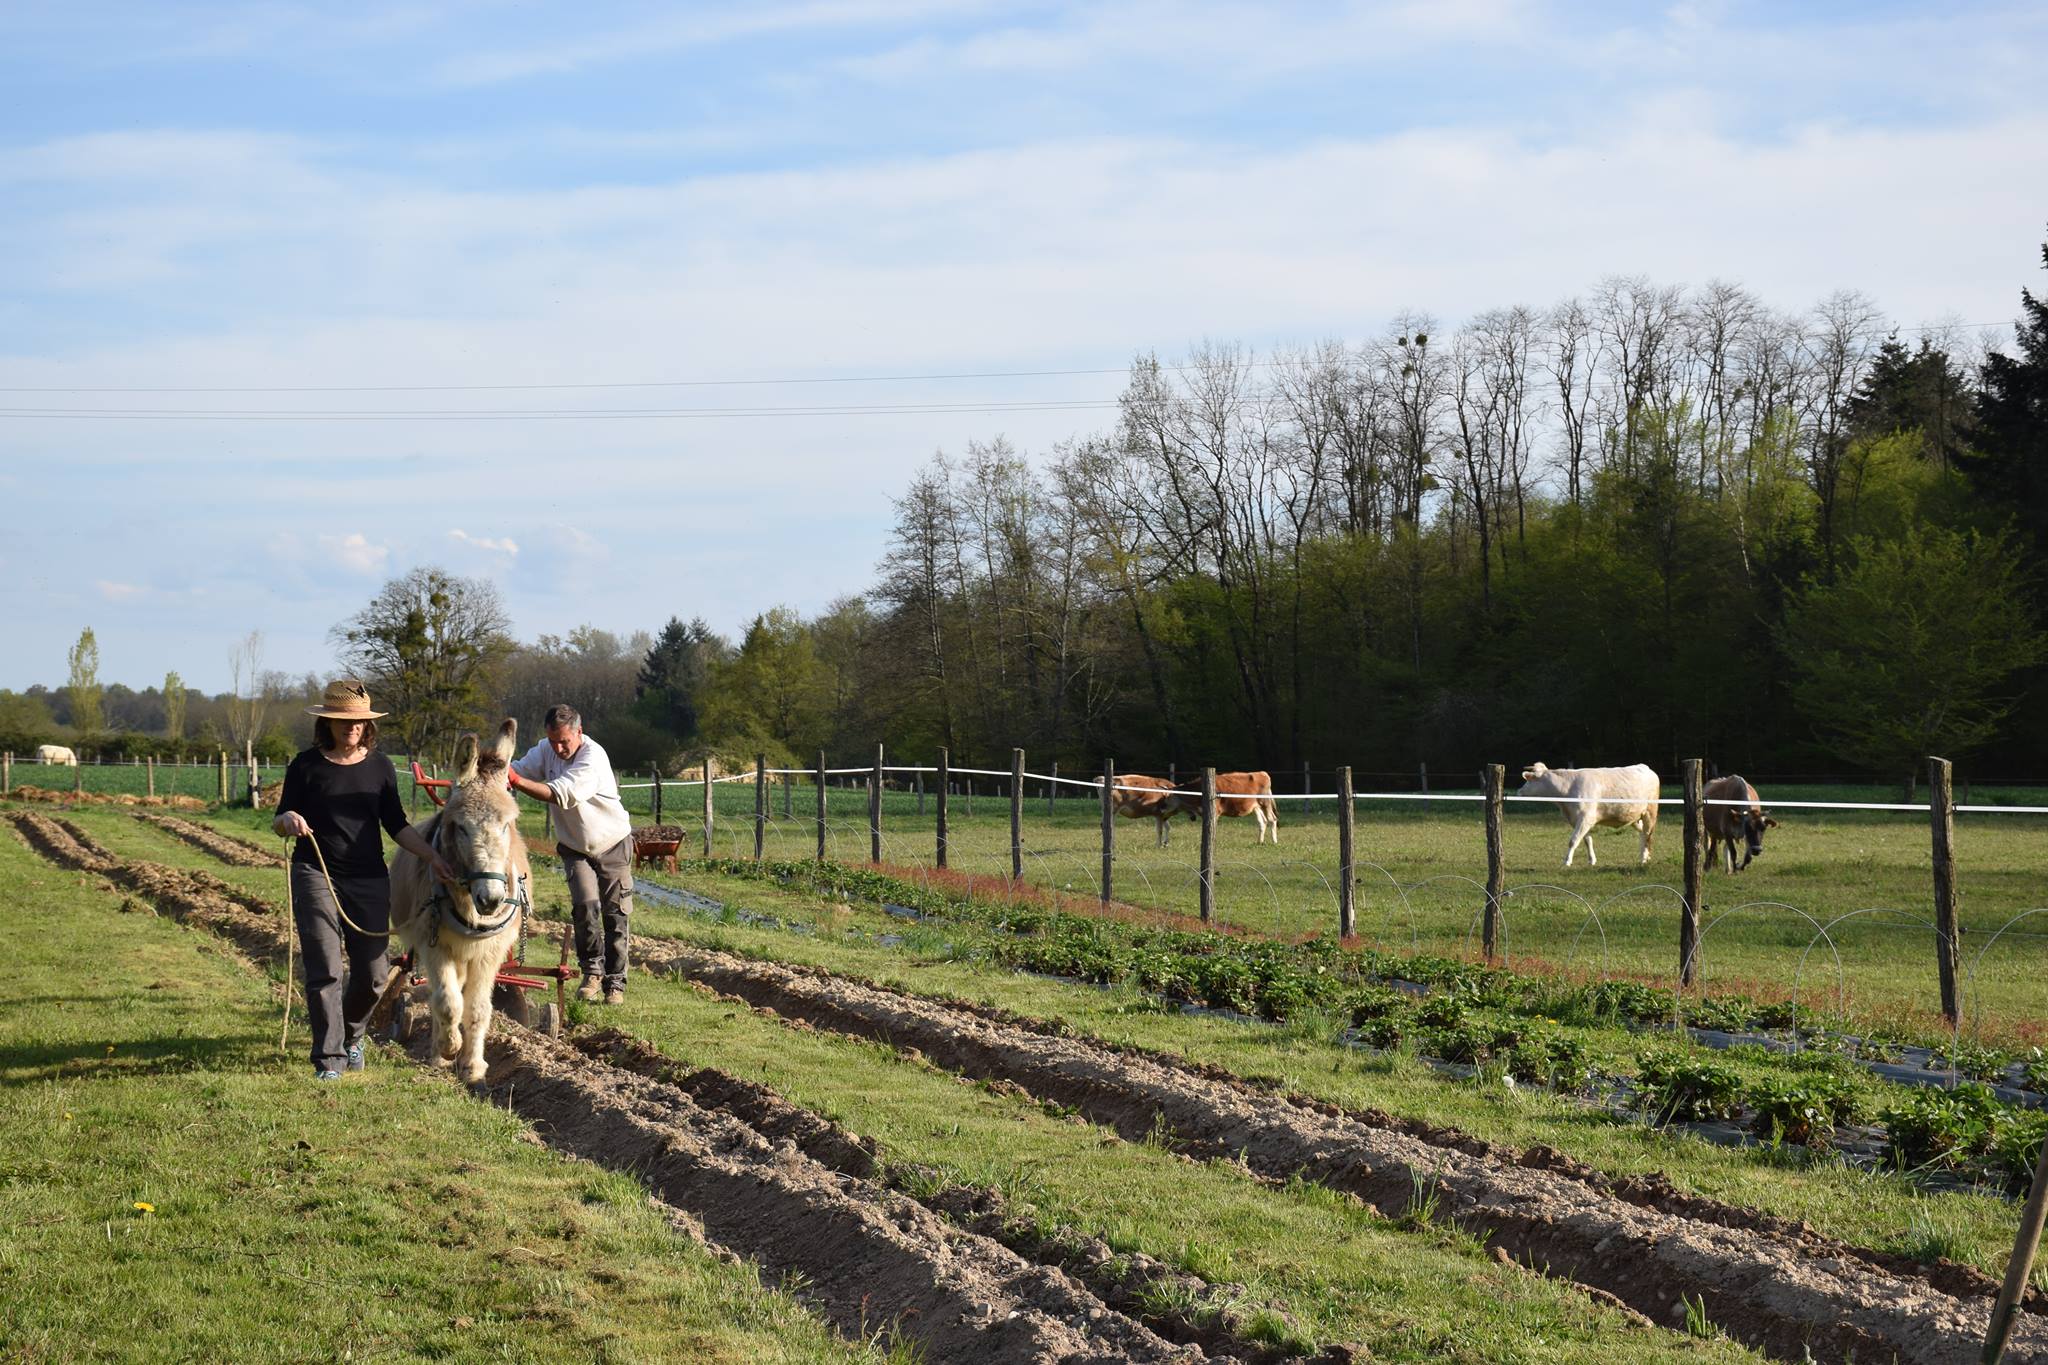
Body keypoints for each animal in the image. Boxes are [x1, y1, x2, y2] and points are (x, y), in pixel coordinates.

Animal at [1523, 765, 1662, 871]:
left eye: (1529, 780)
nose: (1520, 791)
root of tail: (1646, 768)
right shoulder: (1578, 820)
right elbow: (1587, 840)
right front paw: (1591, 860)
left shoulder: (1585, 818)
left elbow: (1573, 840)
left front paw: (1567, 861)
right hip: (1635, 817)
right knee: (1643, 834)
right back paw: (1645, 856)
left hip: (1650, 812)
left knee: (1648, 834)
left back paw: (1643, 859)